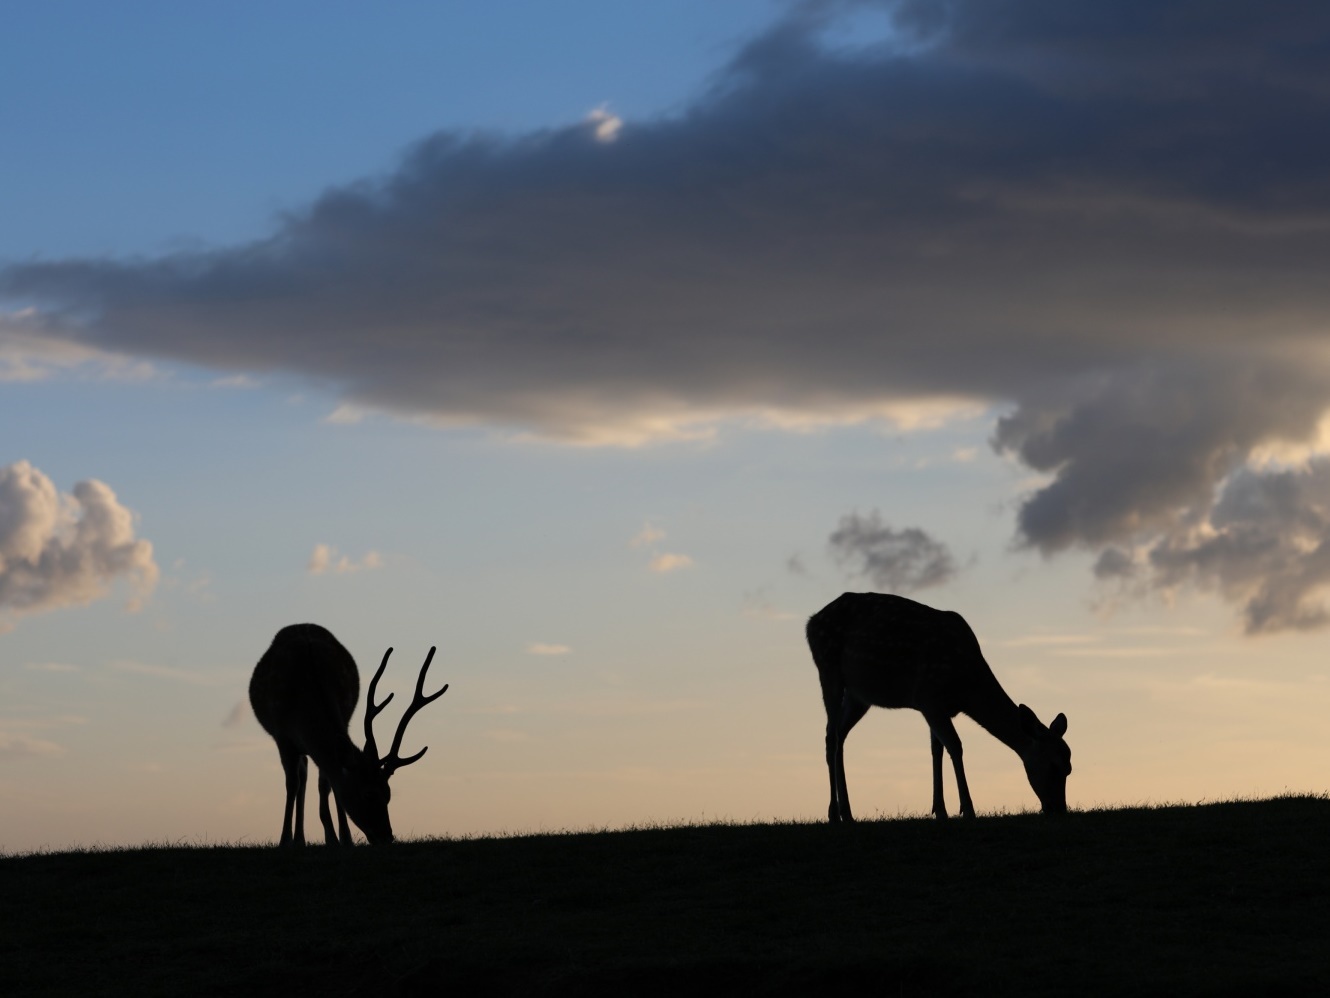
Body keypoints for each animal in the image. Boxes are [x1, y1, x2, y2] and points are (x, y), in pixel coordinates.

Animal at [251, 625, 449, 846]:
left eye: (389, 794)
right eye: (369, 794)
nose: (387, 837)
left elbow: (328, 784)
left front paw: (339, 839)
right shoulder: (282, 738)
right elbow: (292, 784)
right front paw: (284, 841)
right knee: (301, 776)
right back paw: (298, 840)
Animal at [798, 598, 1069, 825]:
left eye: (1069, 767)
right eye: (1054, 766)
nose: (1059, 809)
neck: (966, 688)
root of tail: (811, 622)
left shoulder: (936, 708)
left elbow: (936, 750)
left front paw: (940, 809)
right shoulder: (929, 698)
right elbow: (956, 746)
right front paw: (967, 809)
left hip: (858, 695)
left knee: (840, 736)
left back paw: (848, 812)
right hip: (828, 670)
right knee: (831, 736)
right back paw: (834, 813)